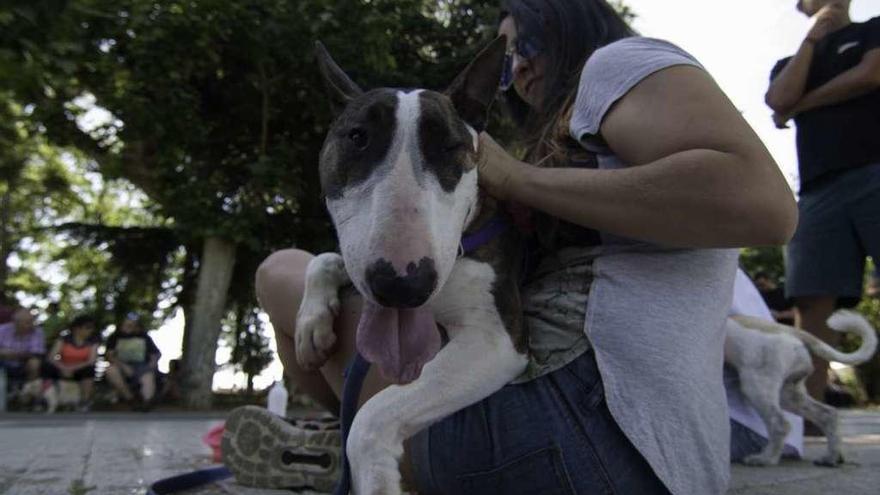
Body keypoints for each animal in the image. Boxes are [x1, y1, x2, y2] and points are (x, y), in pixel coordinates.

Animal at [296, 36, 528, 494]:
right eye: (358, 137)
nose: (403, 285)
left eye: (451, 148)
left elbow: (370, 417)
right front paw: (312, 322)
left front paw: (378, 479)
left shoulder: (495, 338)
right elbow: (325, 259)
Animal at [724, 310, 876, 468]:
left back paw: (766, 459)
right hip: (788, 395)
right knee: (827, 414)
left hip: (758, 387)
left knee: (780, 424)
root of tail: (791, 331)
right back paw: (831, 458)